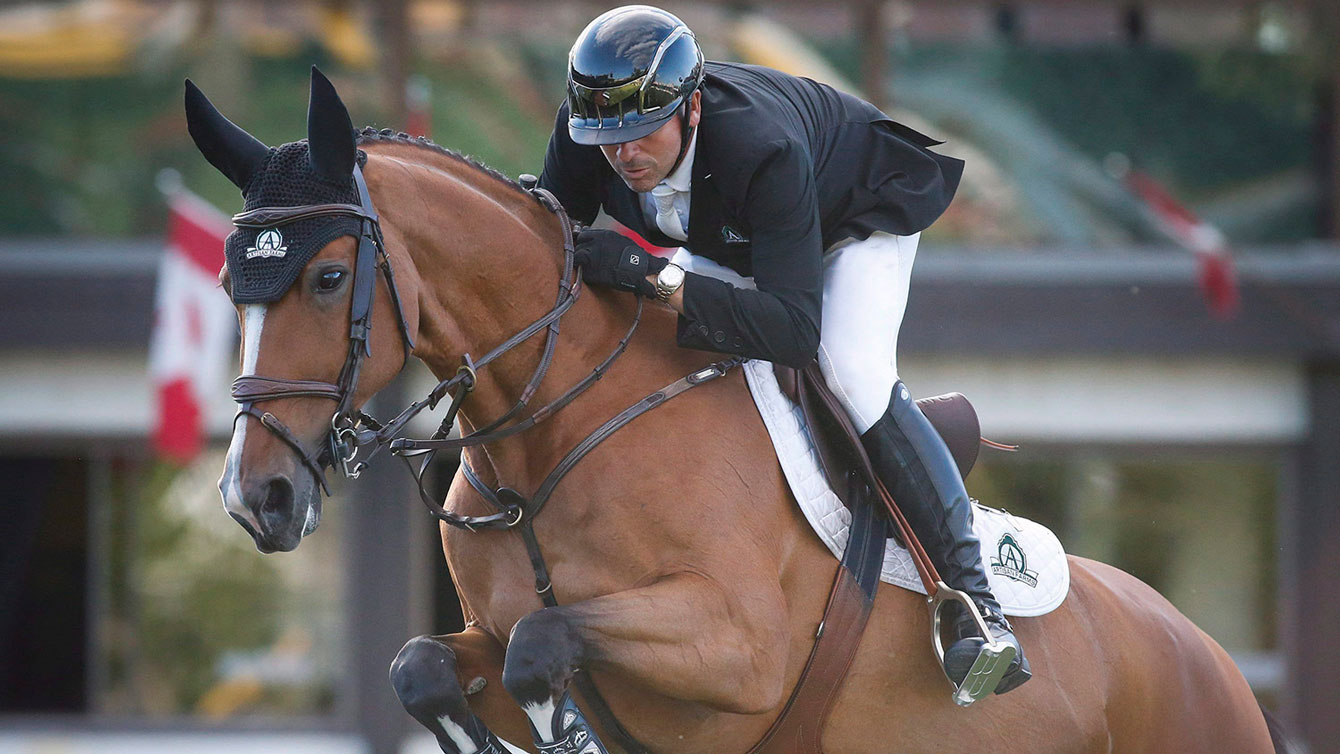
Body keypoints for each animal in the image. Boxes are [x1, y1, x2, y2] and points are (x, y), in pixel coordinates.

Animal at [188, 72, 1275, 754]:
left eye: (329, 279)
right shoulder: (485, 639)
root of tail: (1208, 656)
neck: (552, 430)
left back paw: (982, 634)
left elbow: (547, 641)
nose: (256, 499)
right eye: (232, 285)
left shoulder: (733, 648)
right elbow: (424, 666)